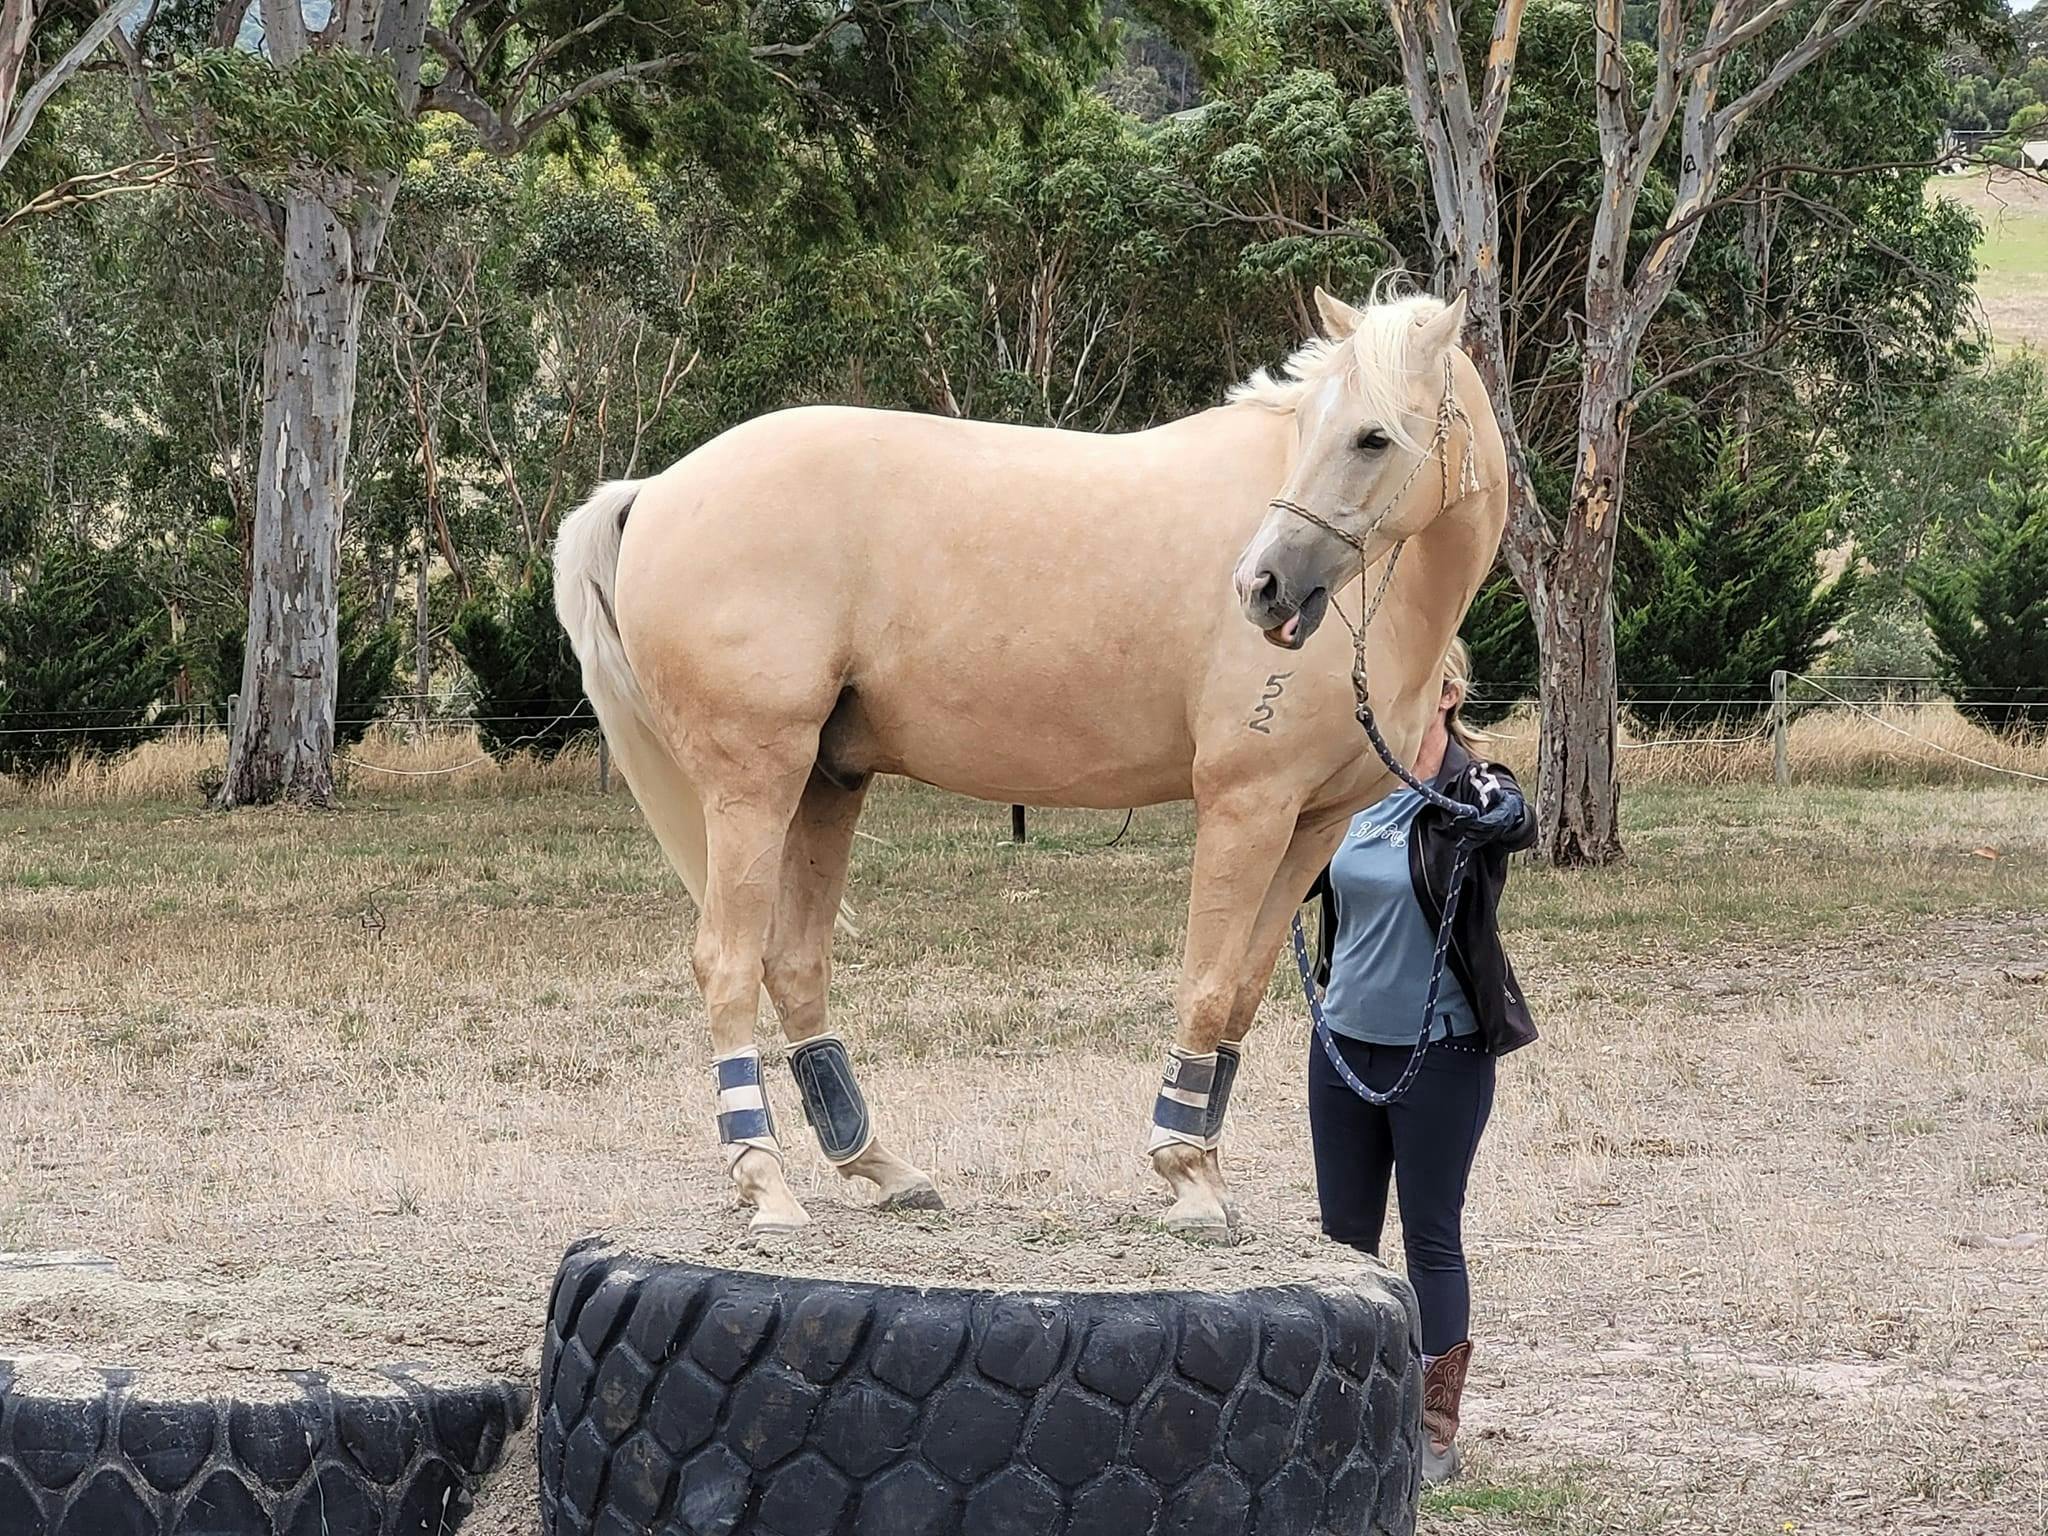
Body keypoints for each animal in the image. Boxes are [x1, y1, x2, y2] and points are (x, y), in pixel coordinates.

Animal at [555, 287, 1508, 1242]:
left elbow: (1239, 994)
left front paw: (1203, 1168)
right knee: (727, 962)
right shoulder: (1246, 805)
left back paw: (880, 1168)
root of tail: (655, 489)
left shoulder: (1313, 823)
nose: (1262, 585)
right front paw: (1186, 1177)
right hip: (753, 787)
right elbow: (1204, 986)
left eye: (1372, 437)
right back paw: (765, 1185)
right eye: (1309, 423)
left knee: (793, 966)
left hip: (827, 784)